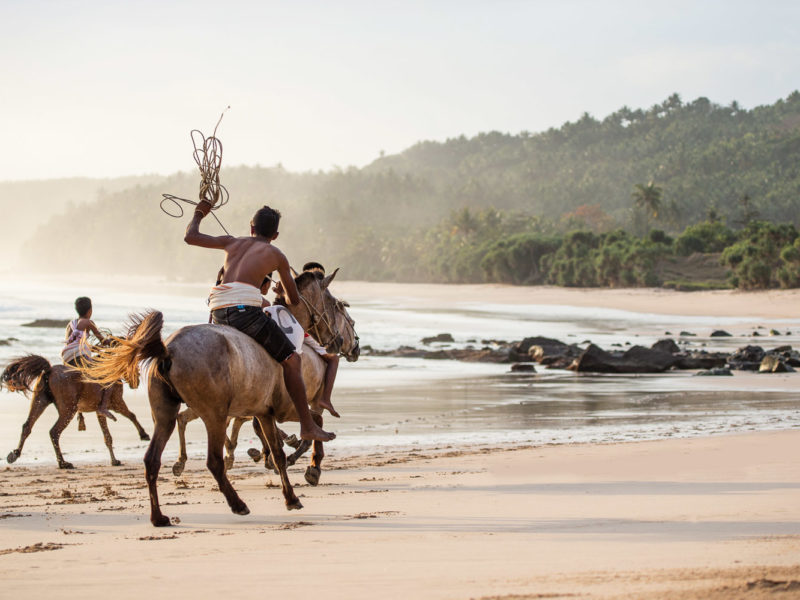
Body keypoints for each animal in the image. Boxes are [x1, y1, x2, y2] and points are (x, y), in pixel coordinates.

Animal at [1, 356, 150, 468]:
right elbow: (132, 415)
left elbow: (107, 436)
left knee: (27, 426)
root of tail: (49, 371)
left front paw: (114, 461)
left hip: (40, 401)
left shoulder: (100, 412)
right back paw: (63, 463)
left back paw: (15, 454)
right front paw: (144, 434)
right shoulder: (118, 403)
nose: (136, 382)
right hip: (68, 410)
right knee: (54, 432)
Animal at [80, 270, 356, 528]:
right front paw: (309, 467)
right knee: (213, 461)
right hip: (214, 415)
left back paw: (158, 516)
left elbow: (278, 452)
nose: (343, 342)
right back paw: (237, 504)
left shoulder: (263, 412)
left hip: (164, 414)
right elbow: (311, 427)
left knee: (152, 460)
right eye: (337, 305)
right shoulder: (286, 408)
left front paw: (291, 492)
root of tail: (168, 350)